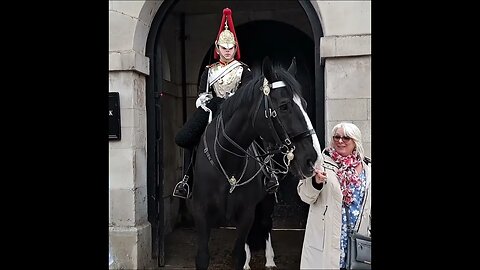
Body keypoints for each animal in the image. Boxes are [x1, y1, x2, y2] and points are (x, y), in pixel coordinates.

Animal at [189, 56, 320, 268]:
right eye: (284, 106)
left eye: (305, 104)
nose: (312, 159)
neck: (227, 162)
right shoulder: (201, 213)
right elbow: (203, 257)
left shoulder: (245, 213)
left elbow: (239, 254)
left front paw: (251, 260)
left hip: (266, 200)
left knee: (266, 224)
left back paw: (269, 260)